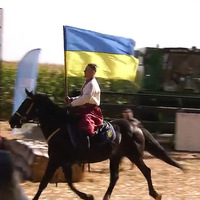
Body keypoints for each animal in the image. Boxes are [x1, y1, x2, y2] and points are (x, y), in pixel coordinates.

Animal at [9, 89, 183, 200]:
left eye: (25, 104)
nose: (12, 121)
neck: (60, 127)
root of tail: (136, 126)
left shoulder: (57, 160)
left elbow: (47, 183)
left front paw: (88, 196)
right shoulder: (62, 162)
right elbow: (63, 183)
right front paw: (88, 196)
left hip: (134, 155)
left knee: (146, 171)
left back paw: (156, 194)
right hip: (116, 157)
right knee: (115, 177)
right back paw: (106, 197)